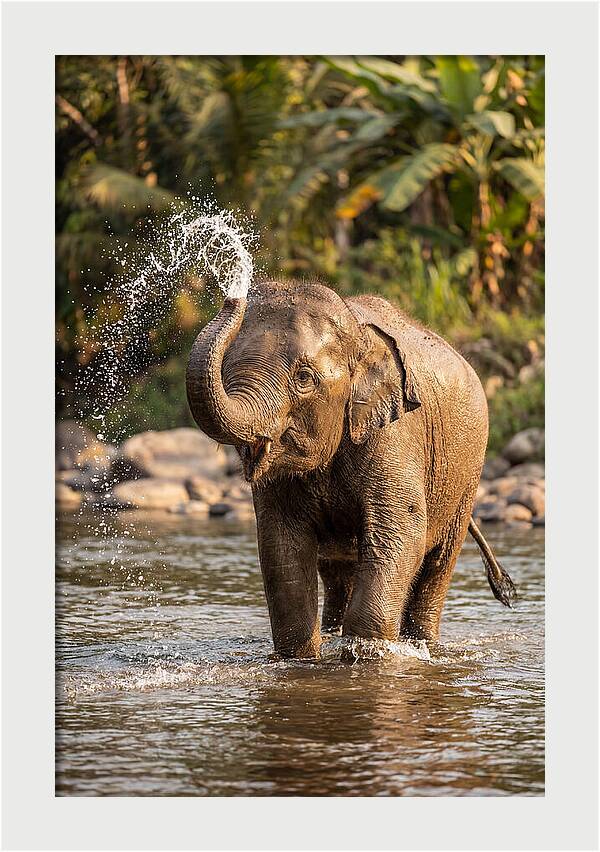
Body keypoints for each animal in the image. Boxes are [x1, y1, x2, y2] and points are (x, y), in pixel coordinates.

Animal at [186, 280, 516, 659]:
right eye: (226, 369)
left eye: (304, 378)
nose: (232, 295)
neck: (358, 334)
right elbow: (281, 546)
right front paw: (302, 657)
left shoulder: (395, 434)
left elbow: (400, 532)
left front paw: (366, 653)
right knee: (336, 571)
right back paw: (333, 633)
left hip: (466, 477)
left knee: (437, 564)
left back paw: (423, 644)